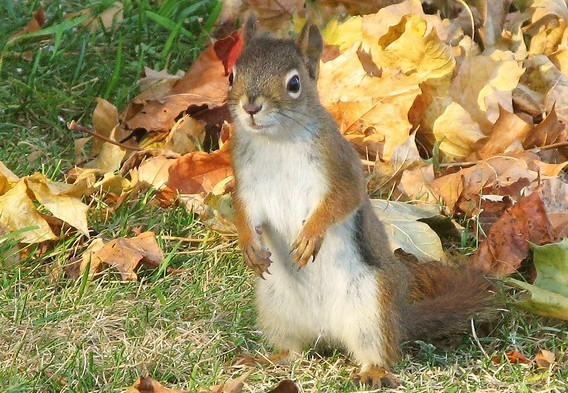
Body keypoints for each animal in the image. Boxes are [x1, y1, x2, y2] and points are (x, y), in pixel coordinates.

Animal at [226, 14, 492, 386]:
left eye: (294, 83)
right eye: (232, 75)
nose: (250, 106)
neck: (276, 142)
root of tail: (326, 331)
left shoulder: (341, 166)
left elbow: (342, 200)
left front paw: (310, 235)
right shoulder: (246, 182)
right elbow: (244, 212)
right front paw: (249, 245)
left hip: (371, 305)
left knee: (378, 349)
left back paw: (374, 372)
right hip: (275, 303)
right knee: (293, 350)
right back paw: (268, 359)